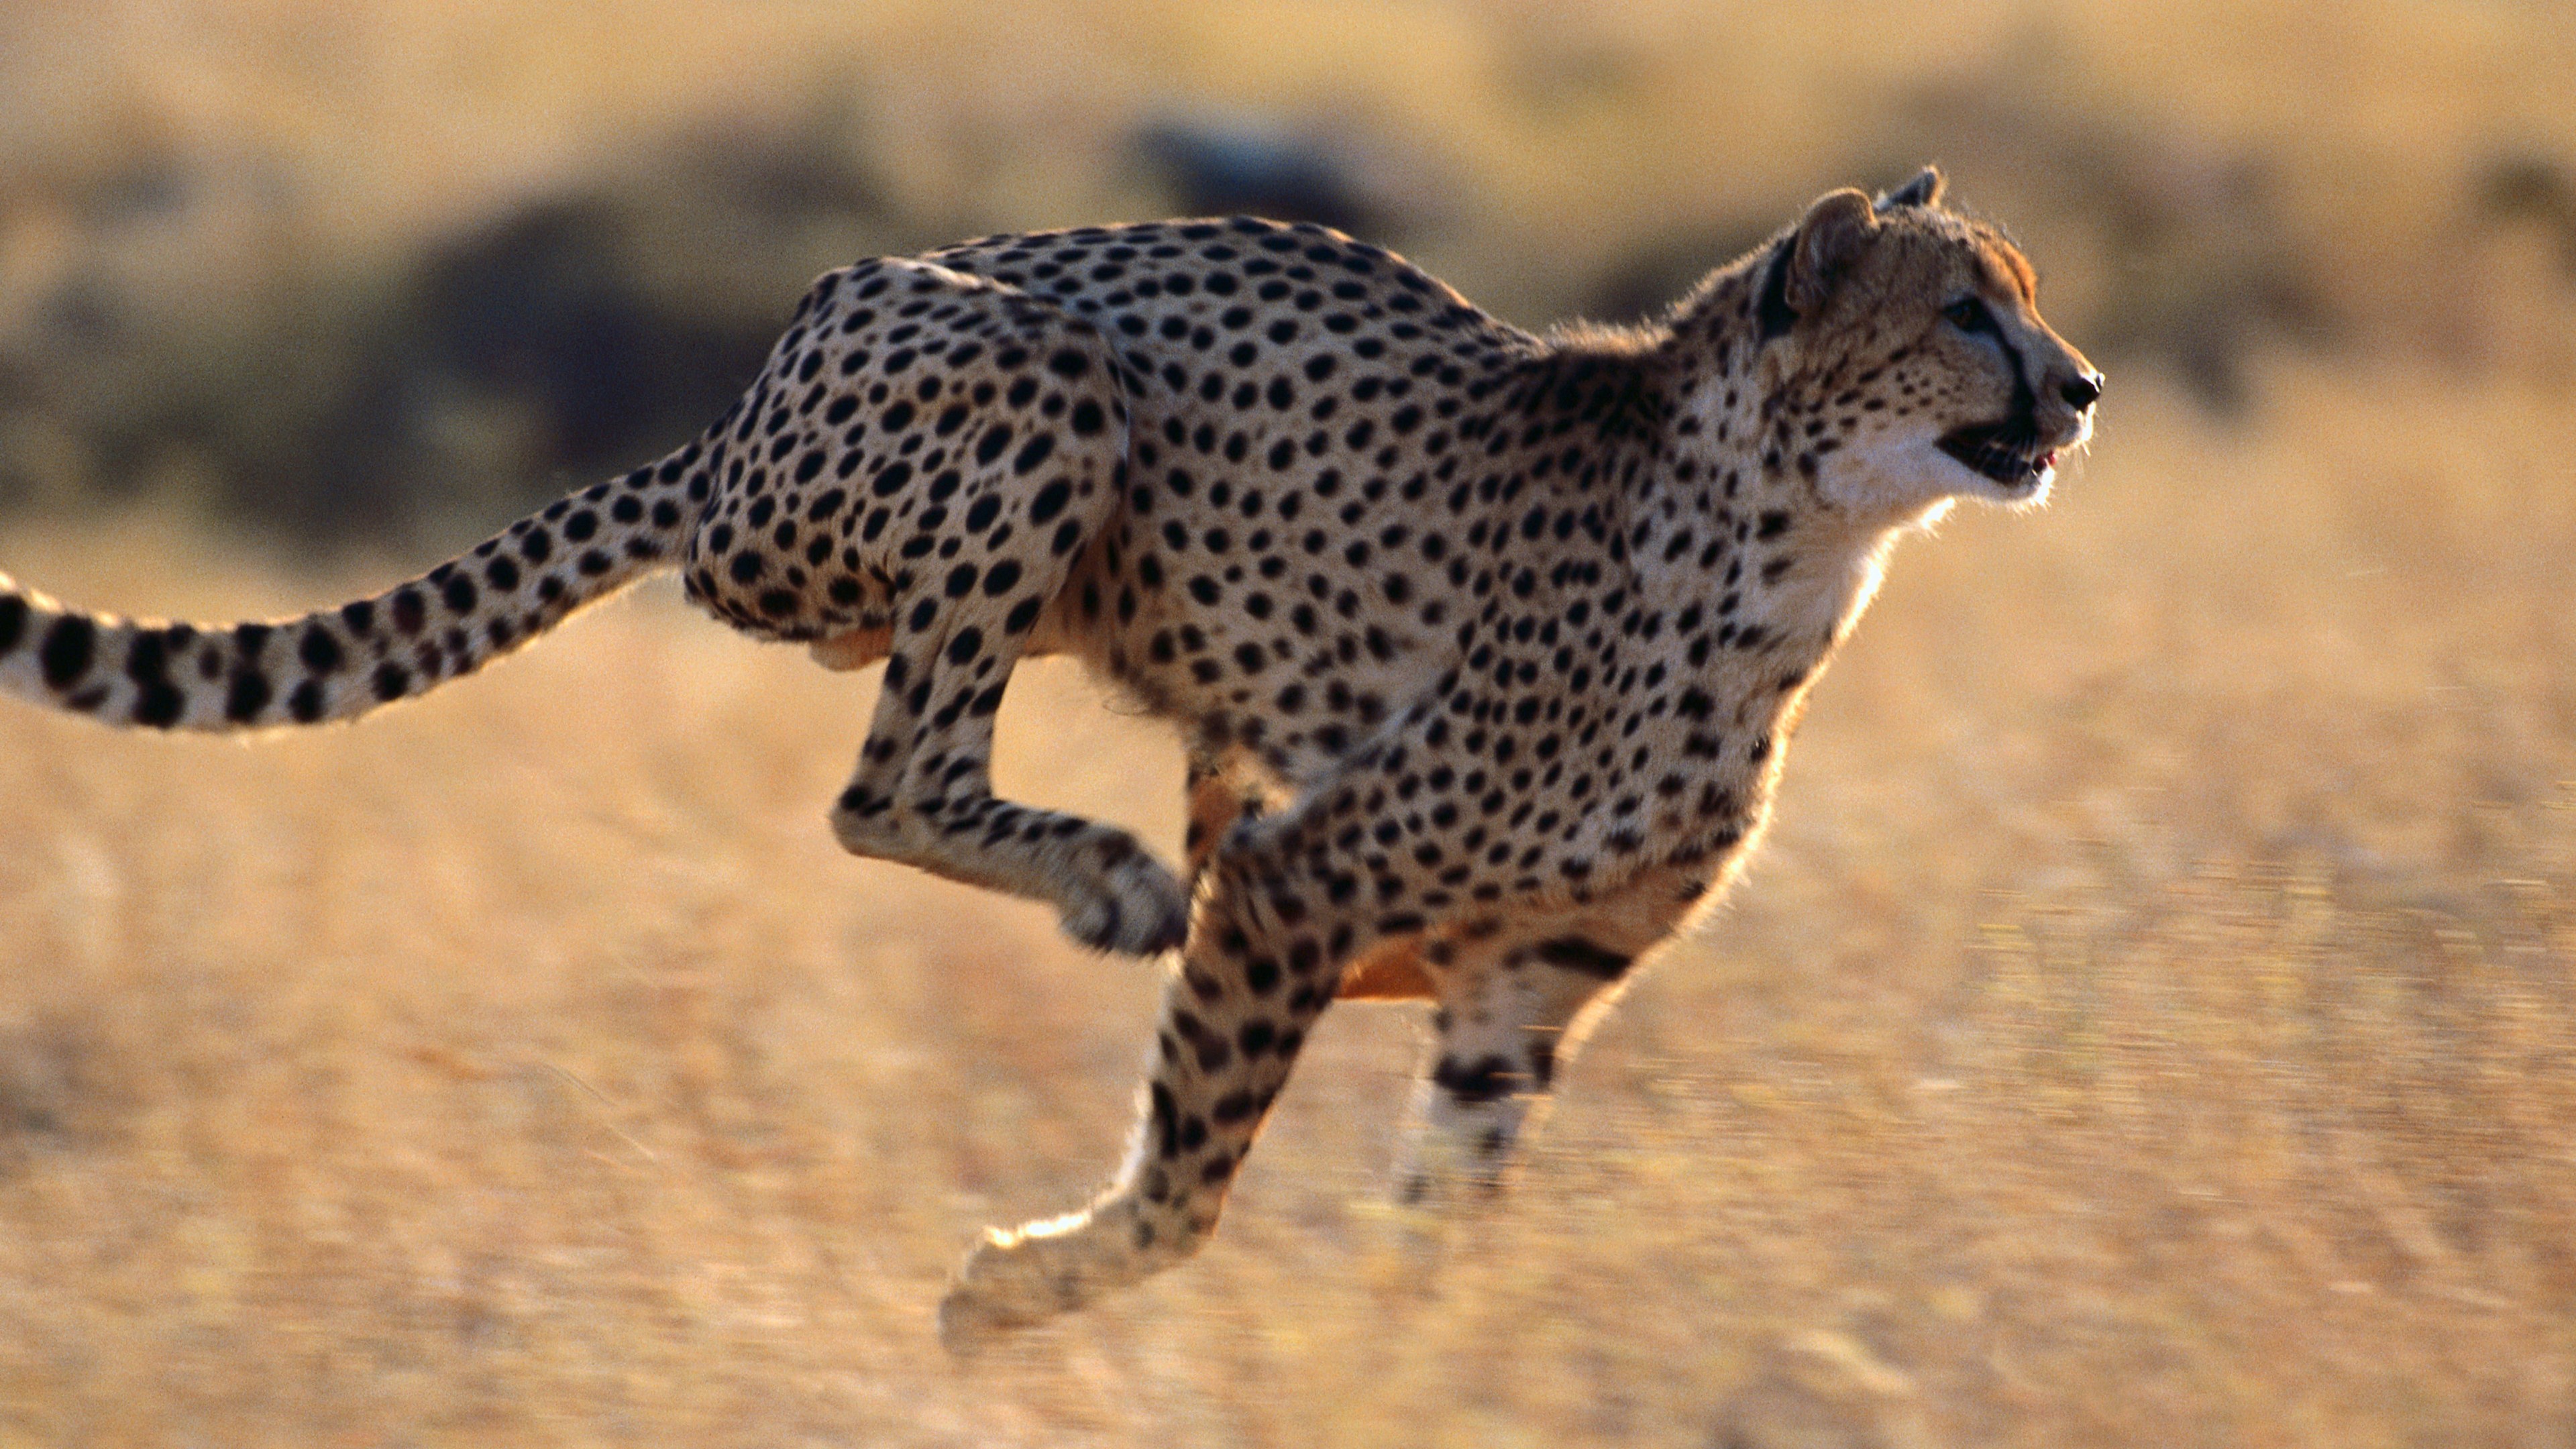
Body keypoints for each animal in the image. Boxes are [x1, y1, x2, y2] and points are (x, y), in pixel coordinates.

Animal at [0, 166, 2098, 1348]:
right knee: (885, 782)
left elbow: (1439, 1215)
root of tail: (740, 406)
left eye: (2025, 292)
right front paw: (1015, 1293)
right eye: (1963, 308)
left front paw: (1408, 1359)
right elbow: (1188, 1183)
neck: (1790, 546)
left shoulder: (1528, 980)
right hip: (1029, 386)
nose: (2077, 386)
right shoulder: (1305, 881)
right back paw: (1102, 876)